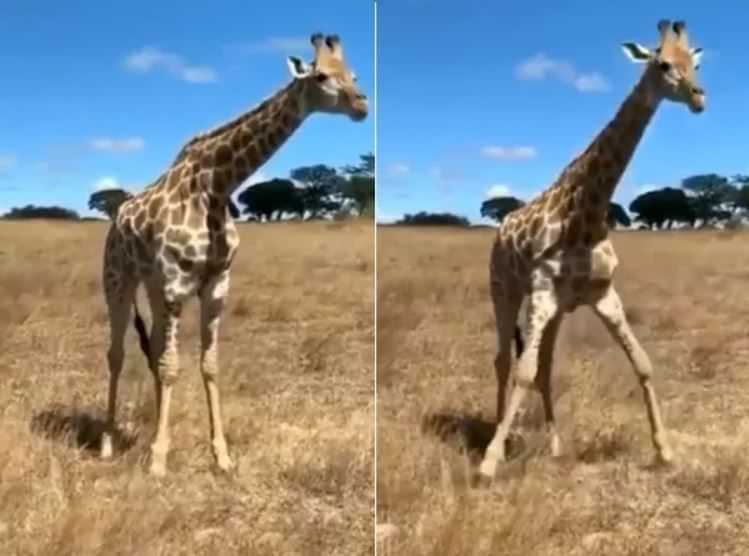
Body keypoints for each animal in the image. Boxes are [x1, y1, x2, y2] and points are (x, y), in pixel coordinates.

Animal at [99, 33, 368, 476]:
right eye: (322, 76)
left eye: (355, 75)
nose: (362, 104)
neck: (217, 185)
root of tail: (116, 217)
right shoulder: (175, 284)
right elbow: (172, 367)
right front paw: (158, 461)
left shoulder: (216, 284)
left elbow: (206, 365)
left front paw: (220, 456)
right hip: (119, 281)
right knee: (117, 353)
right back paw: (106, 444)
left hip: (153, 287)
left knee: (152, 349)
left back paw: (152, 428)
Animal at [479, 20, 705, 480]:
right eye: (662, 63)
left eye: (695, 63)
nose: (698, 97)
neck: (588, 213)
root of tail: (501, 225)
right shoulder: (542, 289)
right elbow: (523, 370)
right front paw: (489, 462)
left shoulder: (600, 295)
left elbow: (642, 362)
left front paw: (665, 450)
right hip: (505, 290)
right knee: (504, 360)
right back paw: (502, 438)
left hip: (553, 311)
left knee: (544, 365)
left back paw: (554, 444)